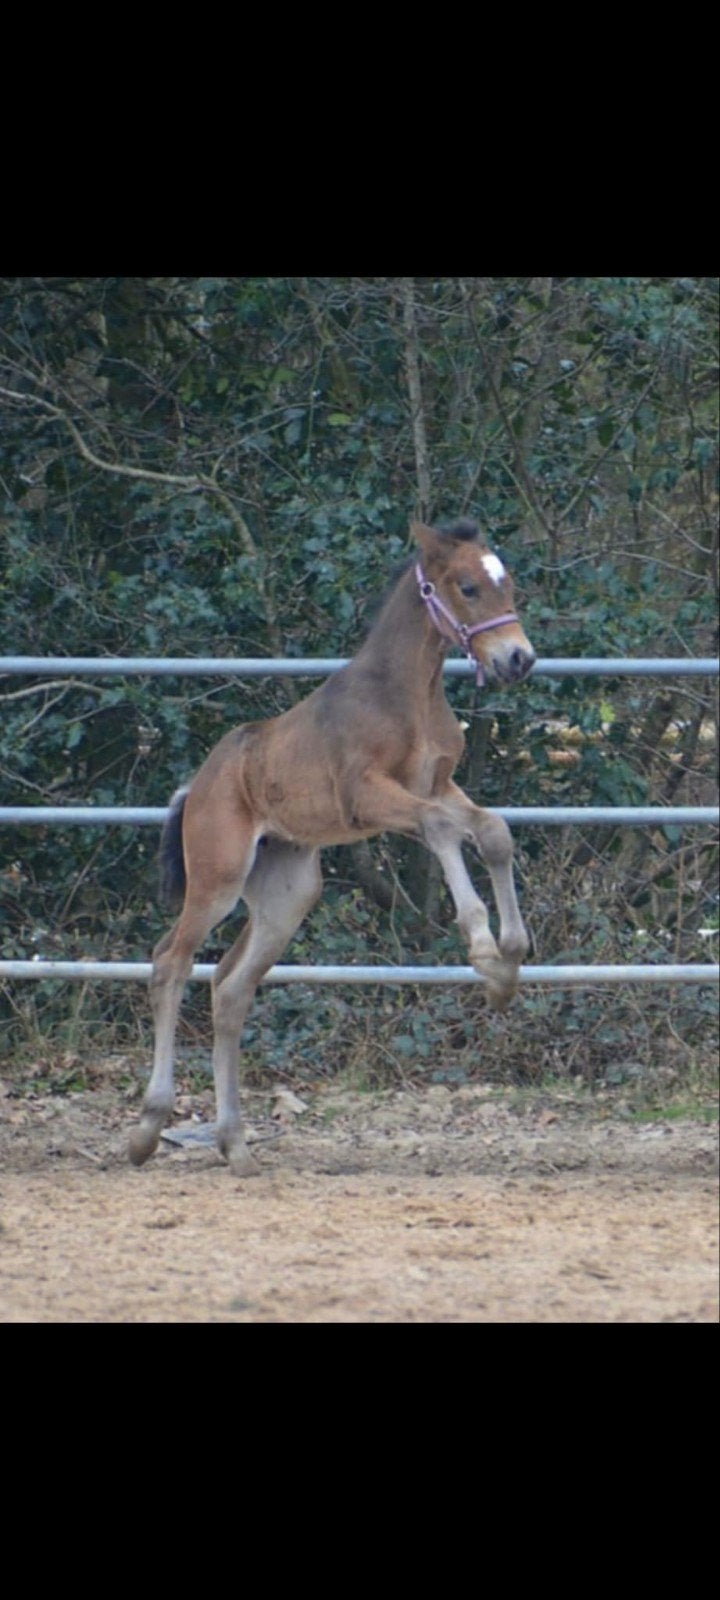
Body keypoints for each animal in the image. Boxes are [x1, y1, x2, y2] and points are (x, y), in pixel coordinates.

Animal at [129, 518, 536, 1175]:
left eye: (509, 583)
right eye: (468, 586)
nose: (518, 658)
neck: (407, 692)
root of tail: (198, 786)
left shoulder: (435, 785)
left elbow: (492, 830)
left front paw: (510, 962)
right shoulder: (367, 795)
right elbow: (442, 830)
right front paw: (483, 950)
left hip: (288, 894)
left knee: (230, 988)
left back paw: (235, 1144)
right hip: (216, 880)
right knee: (171, 962)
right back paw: (147, 1130)